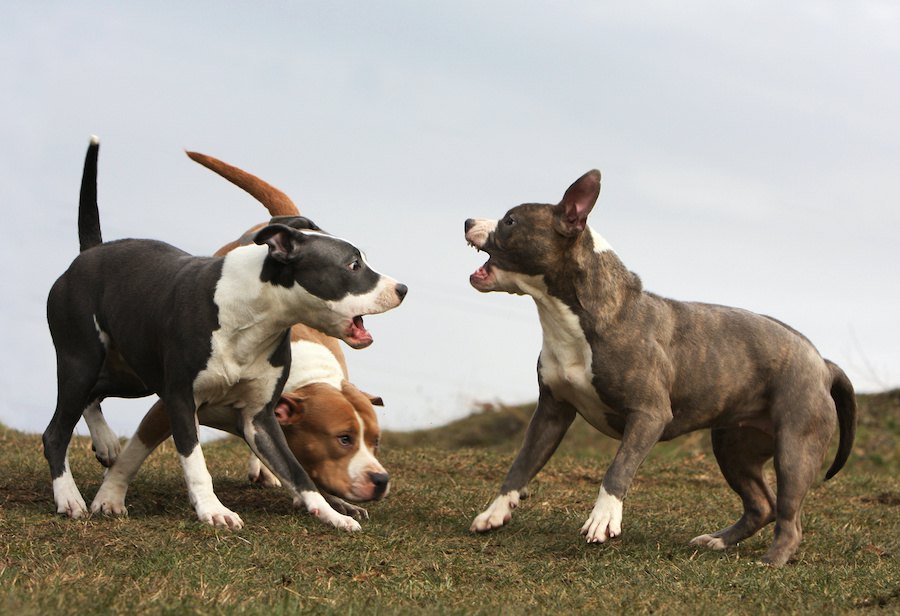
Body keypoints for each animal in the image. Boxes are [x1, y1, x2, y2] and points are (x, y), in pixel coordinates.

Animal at [44, 138, 404, 528]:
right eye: (353, 265)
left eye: (376, 440)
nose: (402, 288)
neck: (254, 318)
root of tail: (93, 251)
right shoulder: (177, 400)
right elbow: (189, 461)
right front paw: (208, 509)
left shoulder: (260, 419)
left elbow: (298, 473)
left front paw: (333, 514)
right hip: (81, 359)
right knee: (57, 431)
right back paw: (70, 497)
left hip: (133, 372)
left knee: (94, 394)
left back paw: (106, 443)